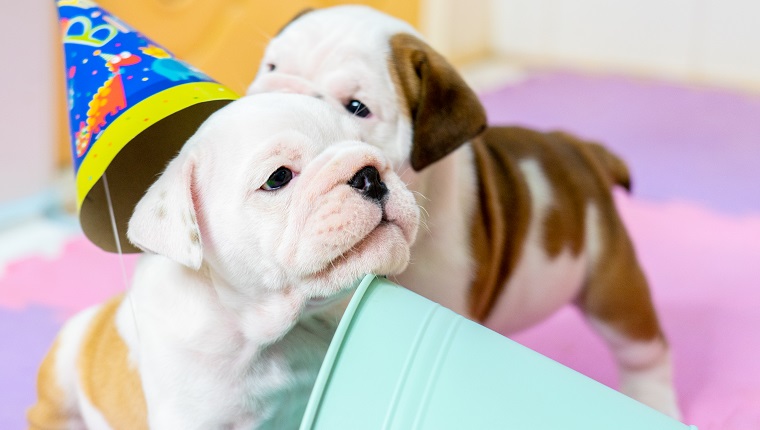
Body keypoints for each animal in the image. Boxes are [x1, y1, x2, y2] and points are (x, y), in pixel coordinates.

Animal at [248, 5, 684, 418]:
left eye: (356, 107)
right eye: (271, 67)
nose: (282, 99)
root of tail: (580, 149)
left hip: (611, 285)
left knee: (644, 350)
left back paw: (655, 401)